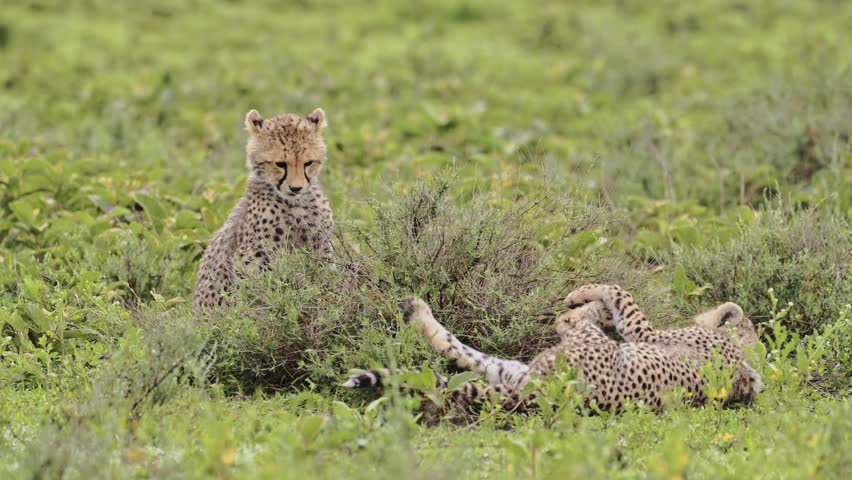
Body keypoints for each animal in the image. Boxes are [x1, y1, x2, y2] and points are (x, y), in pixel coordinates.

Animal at [194, 108, 334, 309]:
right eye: (280, 164)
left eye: (308, 163)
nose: (296, 188)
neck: (295, 204)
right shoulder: (251, 255)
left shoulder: (321, 245)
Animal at [344, 285, 763, 413]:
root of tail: (536, 393)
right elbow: (621, 295)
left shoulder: (644, 334)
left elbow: (620, 294)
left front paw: (582, 295)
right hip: (513, 371)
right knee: (460, 352)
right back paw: (417, 312)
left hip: (562, 354)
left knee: (566, 323)